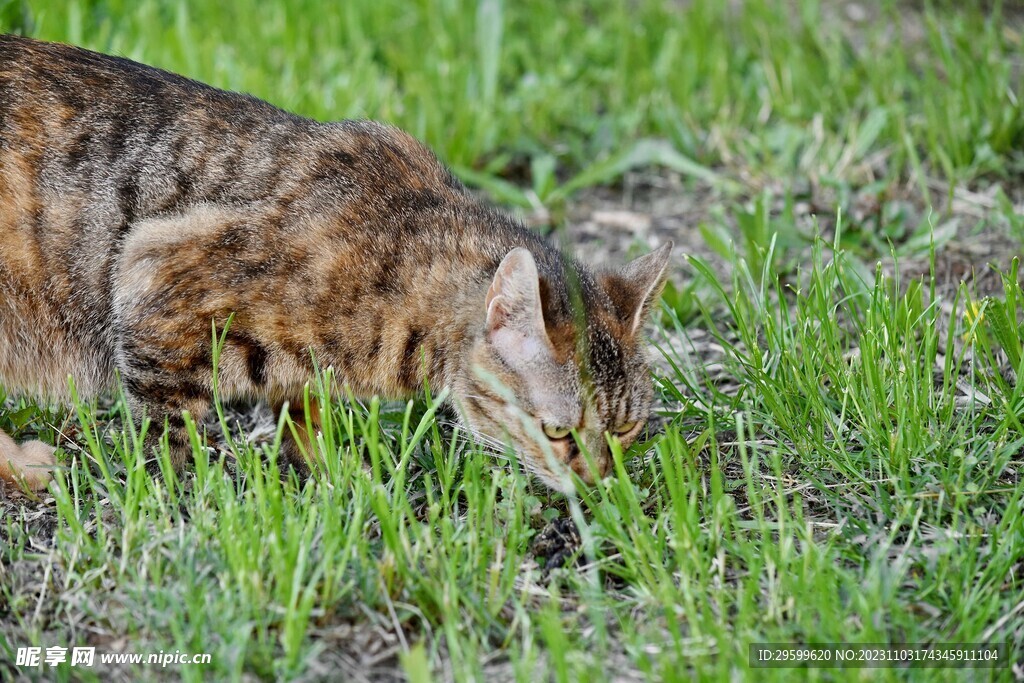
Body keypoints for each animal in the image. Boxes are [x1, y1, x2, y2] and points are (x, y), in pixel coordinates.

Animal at [0, 34, 671, 493]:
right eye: (558, 432)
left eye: (626, 431)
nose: (600, 482)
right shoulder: (152, 264)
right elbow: (172, 428)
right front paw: (202, 492)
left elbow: (304, 413)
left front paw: (334, 475)